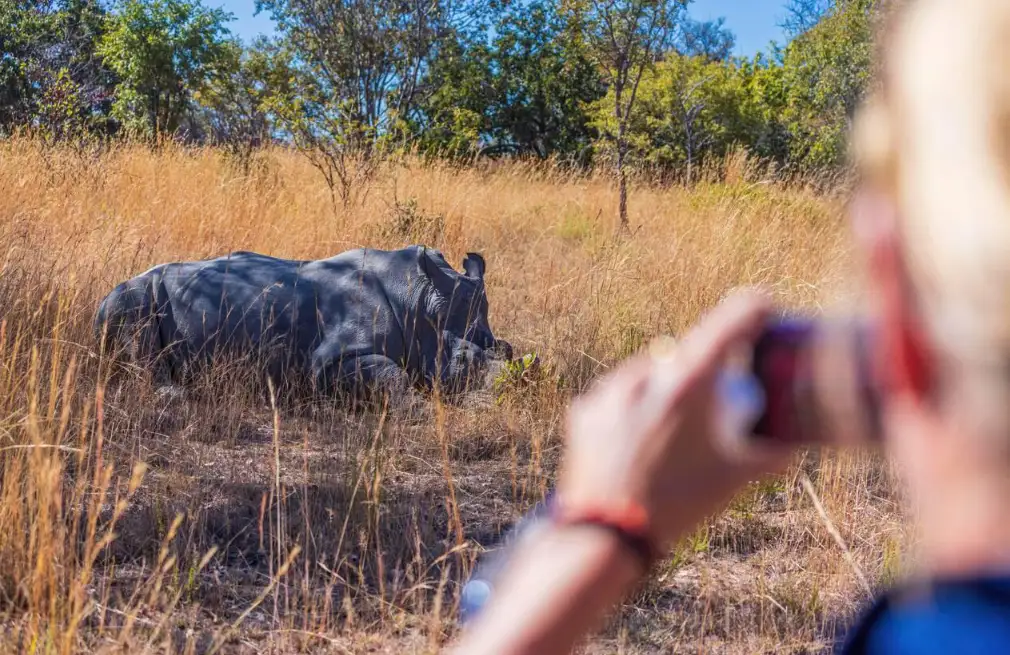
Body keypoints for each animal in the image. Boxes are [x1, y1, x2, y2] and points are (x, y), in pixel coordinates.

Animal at [94, 245, 513, 397]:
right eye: (464, 360)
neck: (418, 300)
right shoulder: (329, 360)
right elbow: (394, 377)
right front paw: (417, 406)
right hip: (128, 295)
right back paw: (176, 395)